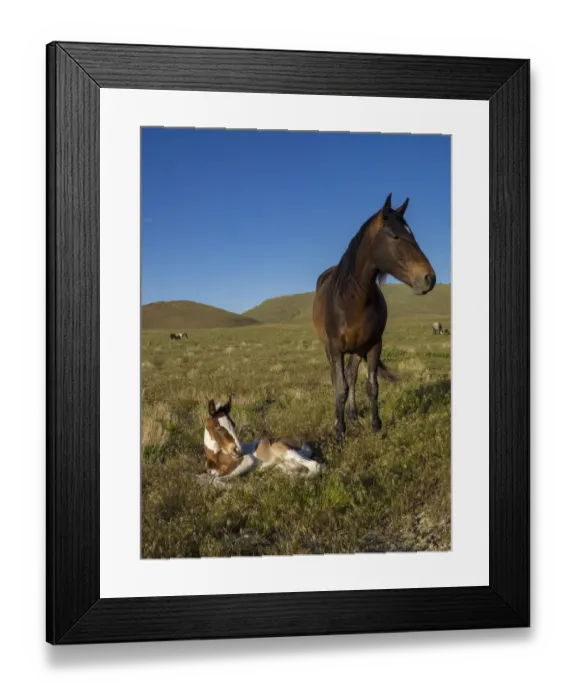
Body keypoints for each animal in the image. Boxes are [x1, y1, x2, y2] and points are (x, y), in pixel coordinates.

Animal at [312, 193, 436, 441]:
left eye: (412, 235)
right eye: (395, 236)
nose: (429, 278)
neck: (352, 299)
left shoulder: (373, 346)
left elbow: (372, 386)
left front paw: (376, 426)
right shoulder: (336, 348)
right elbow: (340, 387)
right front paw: (340, 431)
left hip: (357, 350)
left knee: (351, 376)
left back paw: (351, 414)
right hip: (330, 350)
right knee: (337, 379)